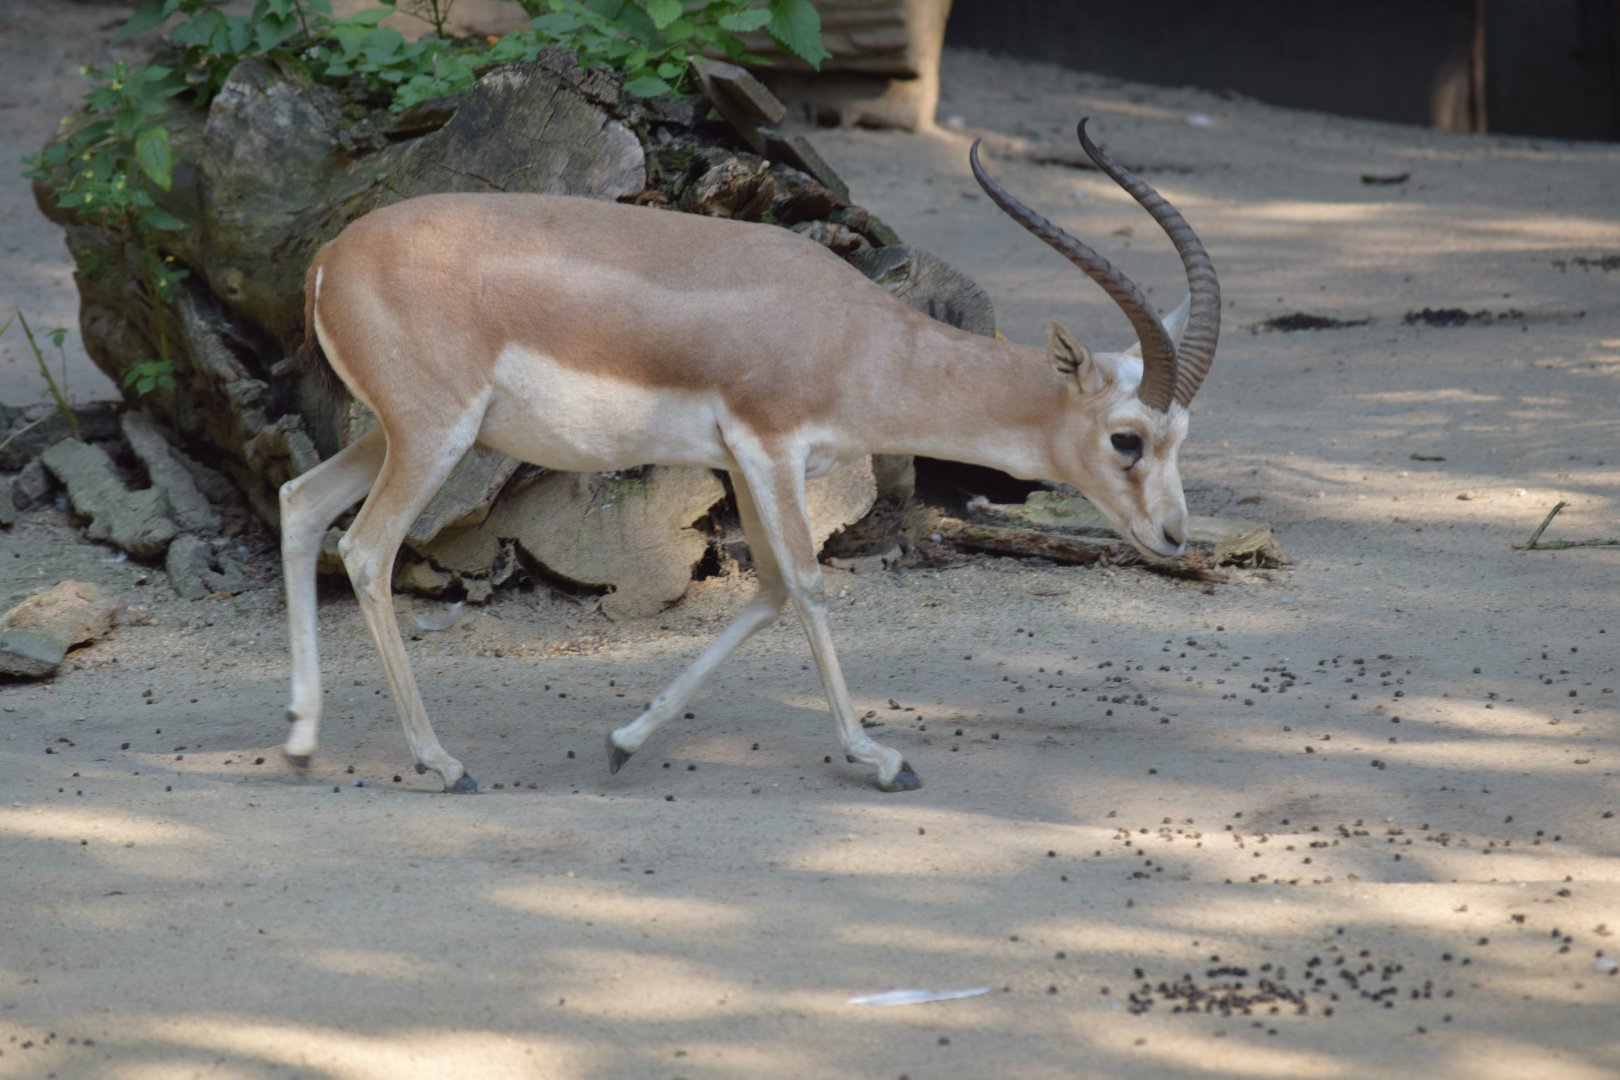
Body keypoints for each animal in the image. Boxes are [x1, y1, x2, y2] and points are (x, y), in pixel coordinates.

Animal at [279, 119, 1220, 794]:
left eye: (1181, 436)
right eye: (1126, 438)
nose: (1175, 538)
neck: (852, 334)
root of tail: (331, 256)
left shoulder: (738, 461)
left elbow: (765, 590)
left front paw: (624, 742)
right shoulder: (771, 447)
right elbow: (805, 583)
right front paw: (882, 760)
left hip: (399, 434)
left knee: (299, 501)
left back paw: (300, 741)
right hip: (432, 438)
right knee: (365, 548)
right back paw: (443, 764)